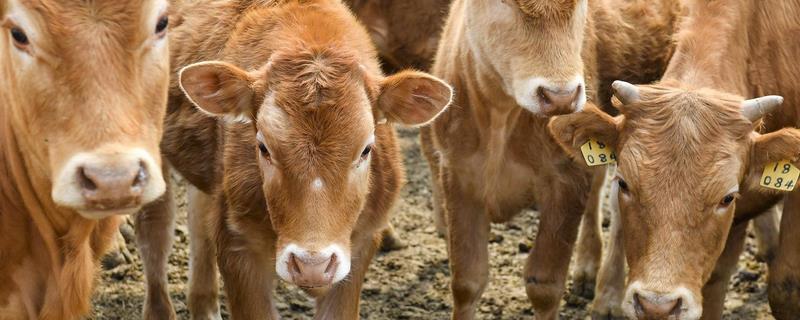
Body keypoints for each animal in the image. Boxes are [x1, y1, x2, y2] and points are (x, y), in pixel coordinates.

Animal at [134, 1, 454, 318]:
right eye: (263, 146)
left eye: (366, 149)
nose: (312, 265)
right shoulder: (236, 244)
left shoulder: (361, 242)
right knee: (155, 229)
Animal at [418, 0, 680, 318]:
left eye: (581, 4)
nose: (561, 97)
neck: (501, 116)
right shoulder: (458, 175)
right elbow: (467, 281)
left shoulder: (565, 180)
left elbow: (544, 285)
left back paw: (608, 297)